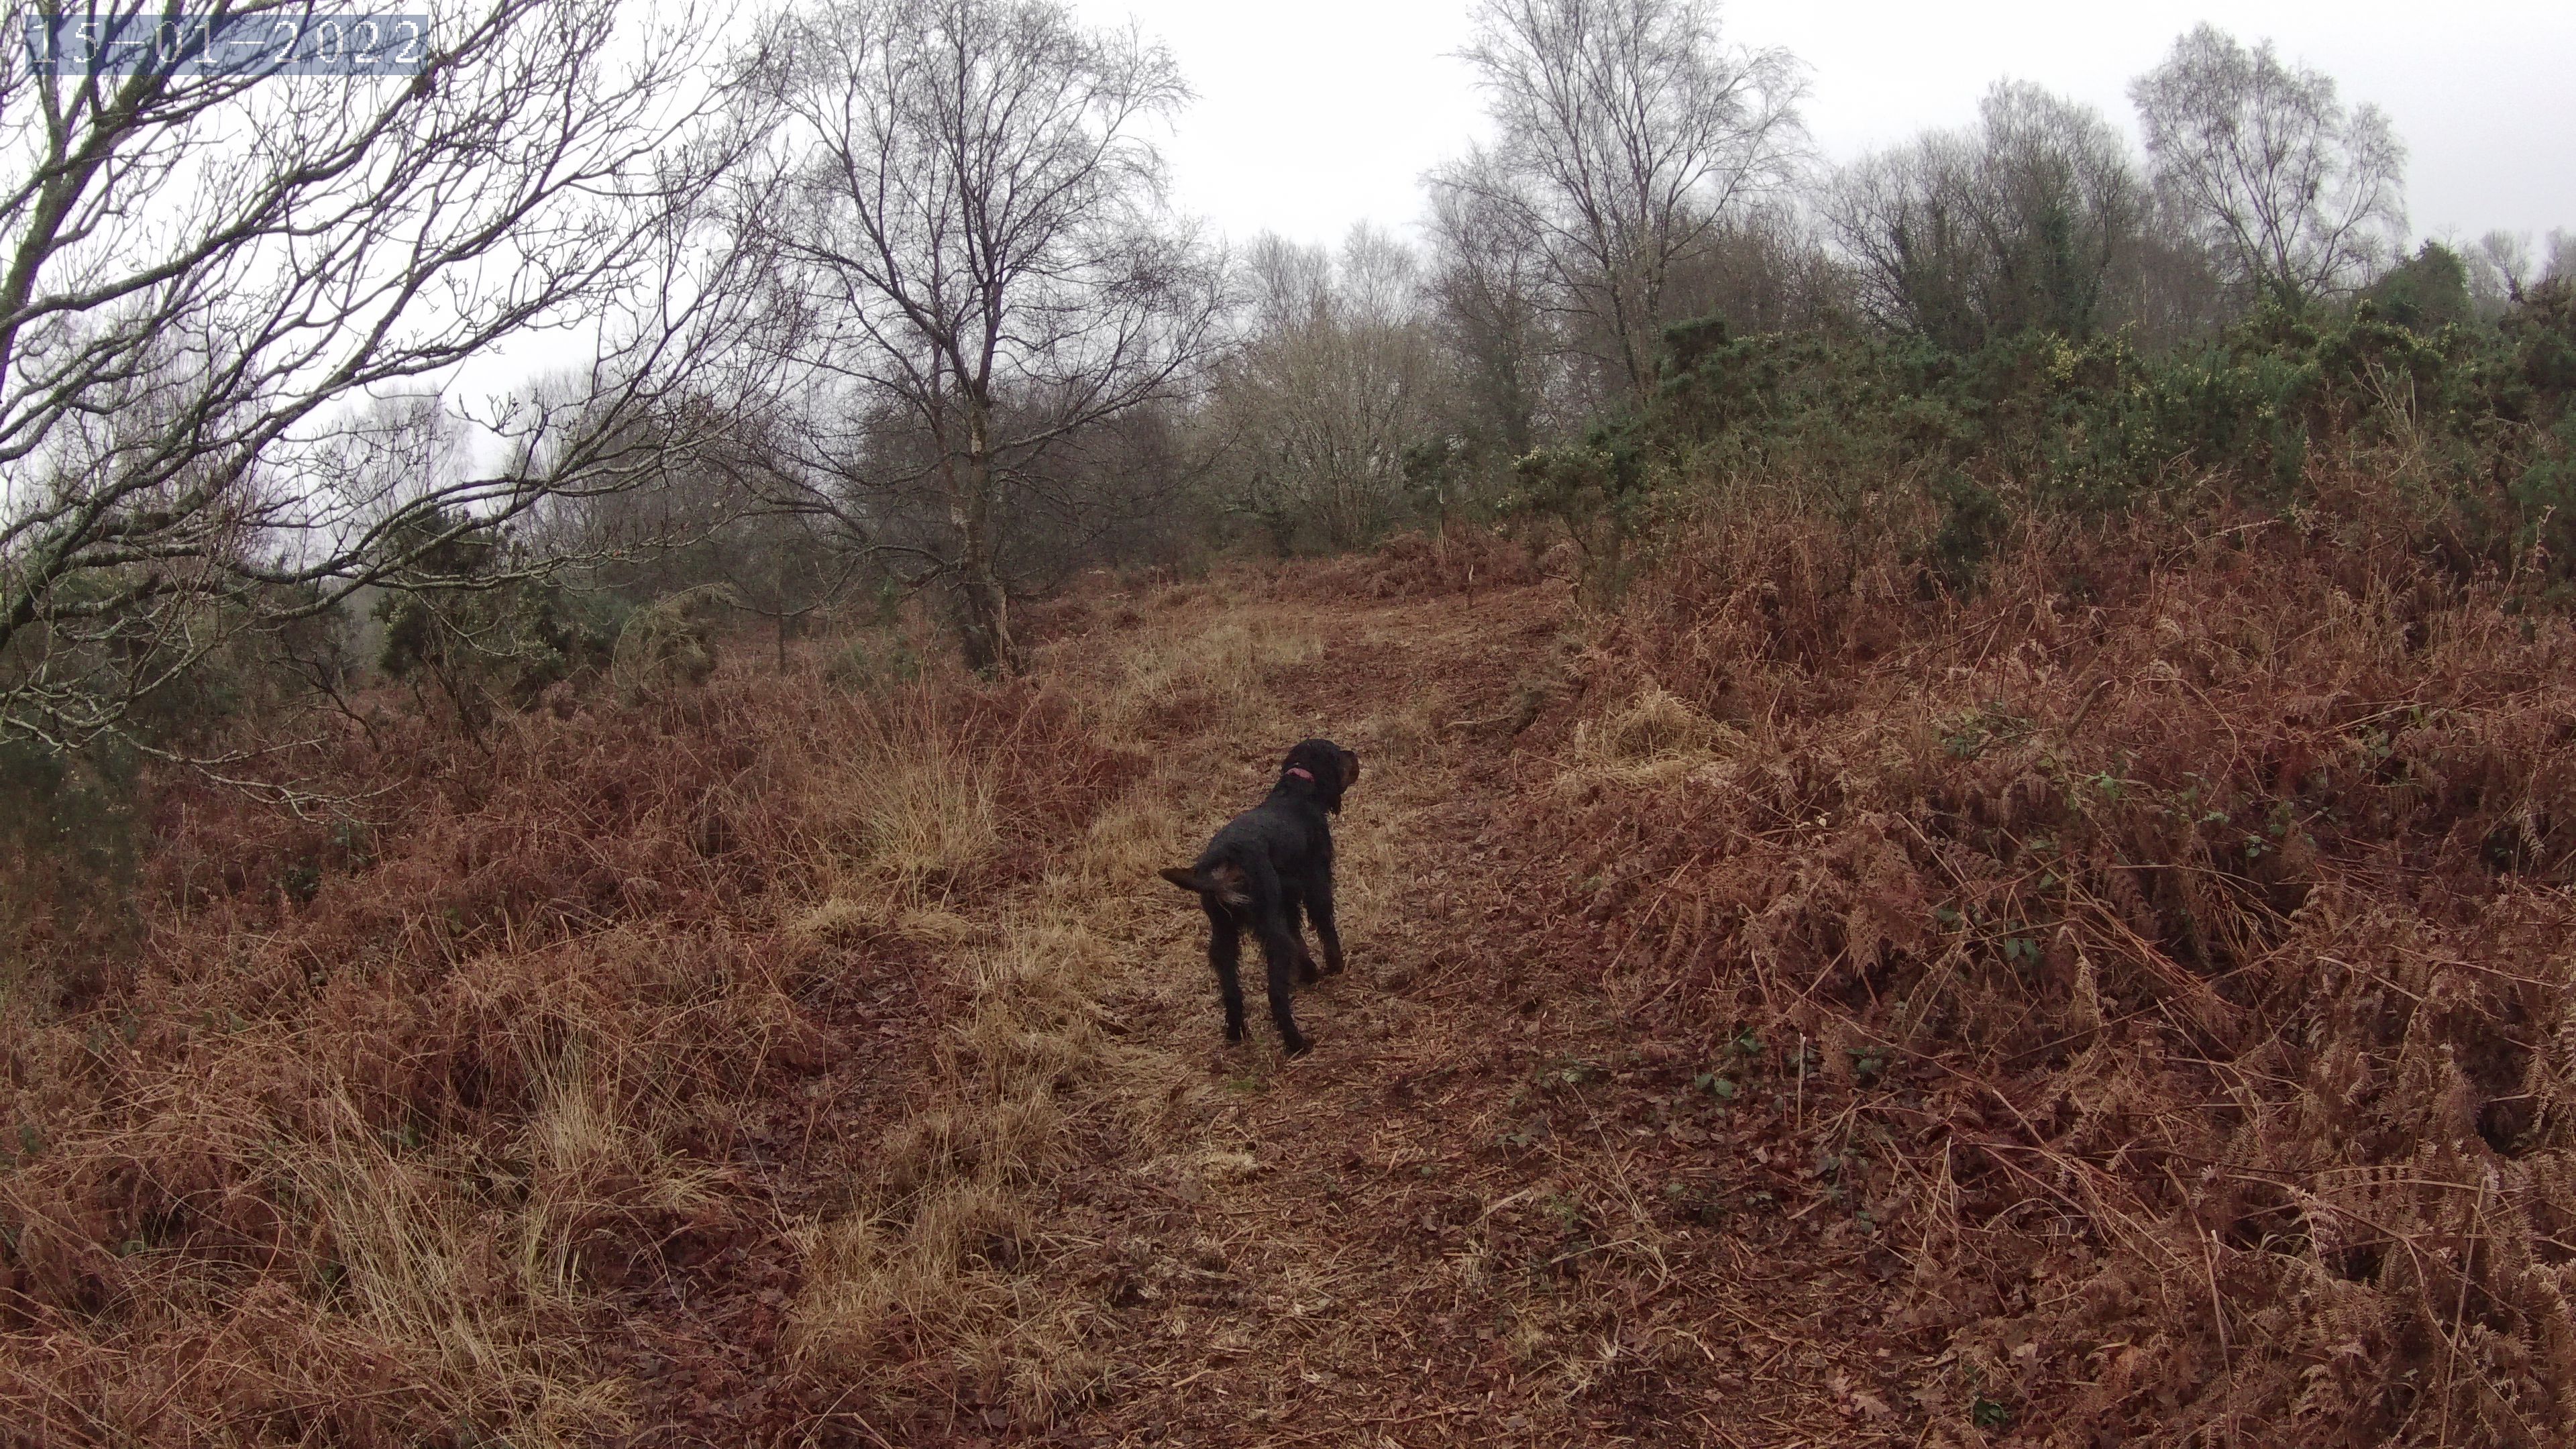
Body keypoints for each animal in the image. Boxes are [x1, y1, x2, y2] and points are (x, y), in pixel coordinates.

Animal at [1164, 737, 1370, 1057]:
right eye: (1338, 754)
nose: (1354, 755)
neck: (1296, 791)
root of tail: (1225, 861)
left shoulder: (1287, 899)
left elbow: (1299, 937)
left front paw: (1309, 973)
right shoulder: (1316, 880)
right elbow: (1325, 924)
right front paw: (1335, 966)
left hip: (1224, 934)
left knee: (1231, 987)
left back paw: (1236, 1032)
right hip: (1272, 934)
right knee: (1275, 993)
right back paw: (1297, 1042)